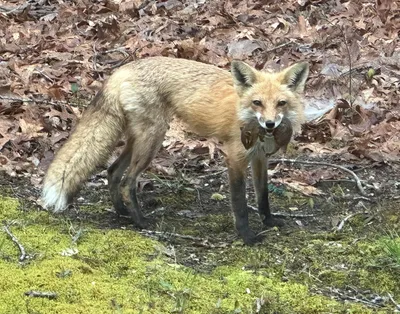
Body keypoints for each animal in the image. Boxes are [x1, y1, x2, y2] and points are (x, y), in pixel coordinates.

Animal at [41, 56, 310, 244]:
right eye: (257, 103)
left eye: (281, 103)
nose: (270, 124)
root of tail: (121, 70)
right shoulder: (235, 158)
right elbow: (240, 204)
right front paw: (247, 237)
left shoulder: (259, 158)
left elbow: (263, 196)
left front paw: (269, 221)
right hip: (153, 139)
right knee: (128, 182)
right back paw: (141, 222)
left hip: (139, 139)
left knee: (113, 171)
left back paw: (122, 213)